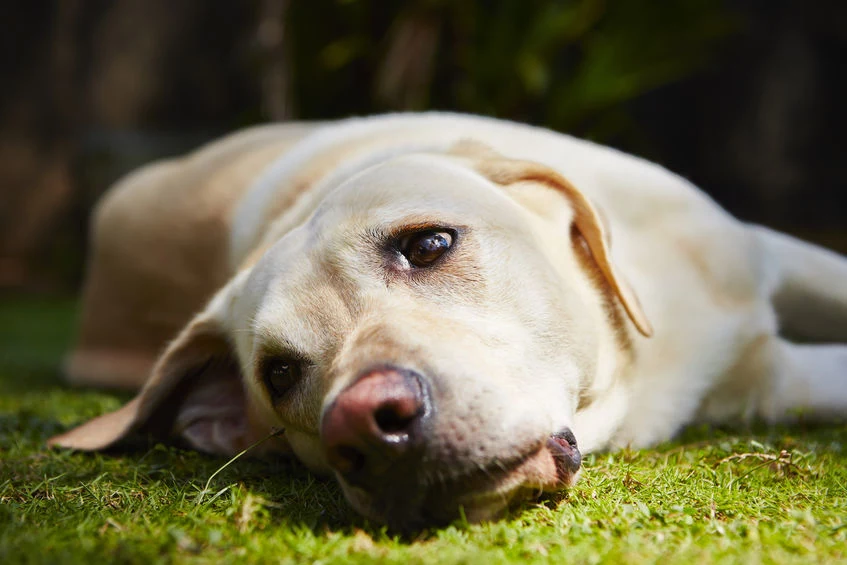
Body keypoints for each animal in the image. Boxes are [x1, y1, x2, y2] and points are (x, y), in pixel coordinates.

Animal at [48, 112, 847, 528]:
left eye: (430, 244)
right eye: (278, 375)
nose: (367, 425)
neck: (638, 350)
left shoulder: (766, 250)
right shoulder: (769, 383)